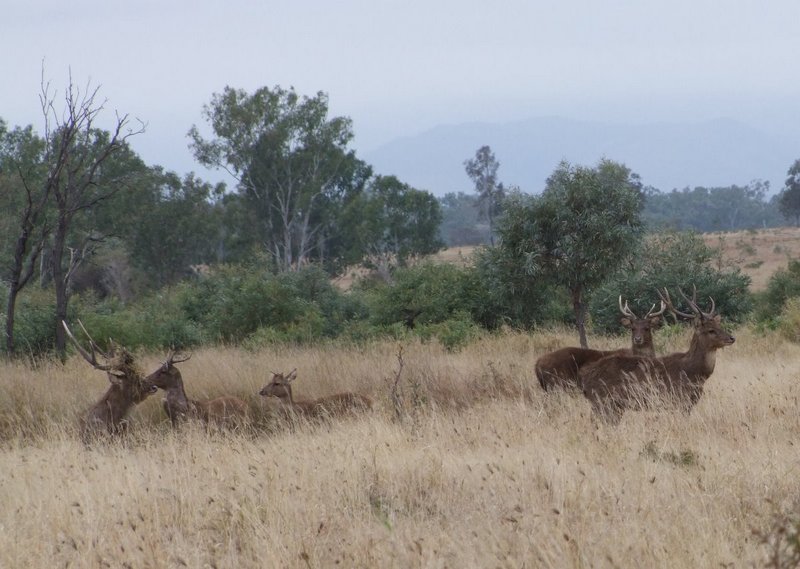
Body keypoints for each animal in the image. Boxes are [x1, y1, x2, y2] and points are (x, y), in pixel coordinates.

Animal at [580, 286, 736, 424]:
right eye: (711, 330)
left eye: (719, 325)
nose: (732, 338)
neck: (694, 373)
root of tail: (585, 378)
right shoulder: (678, 400)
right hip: (604, 401)